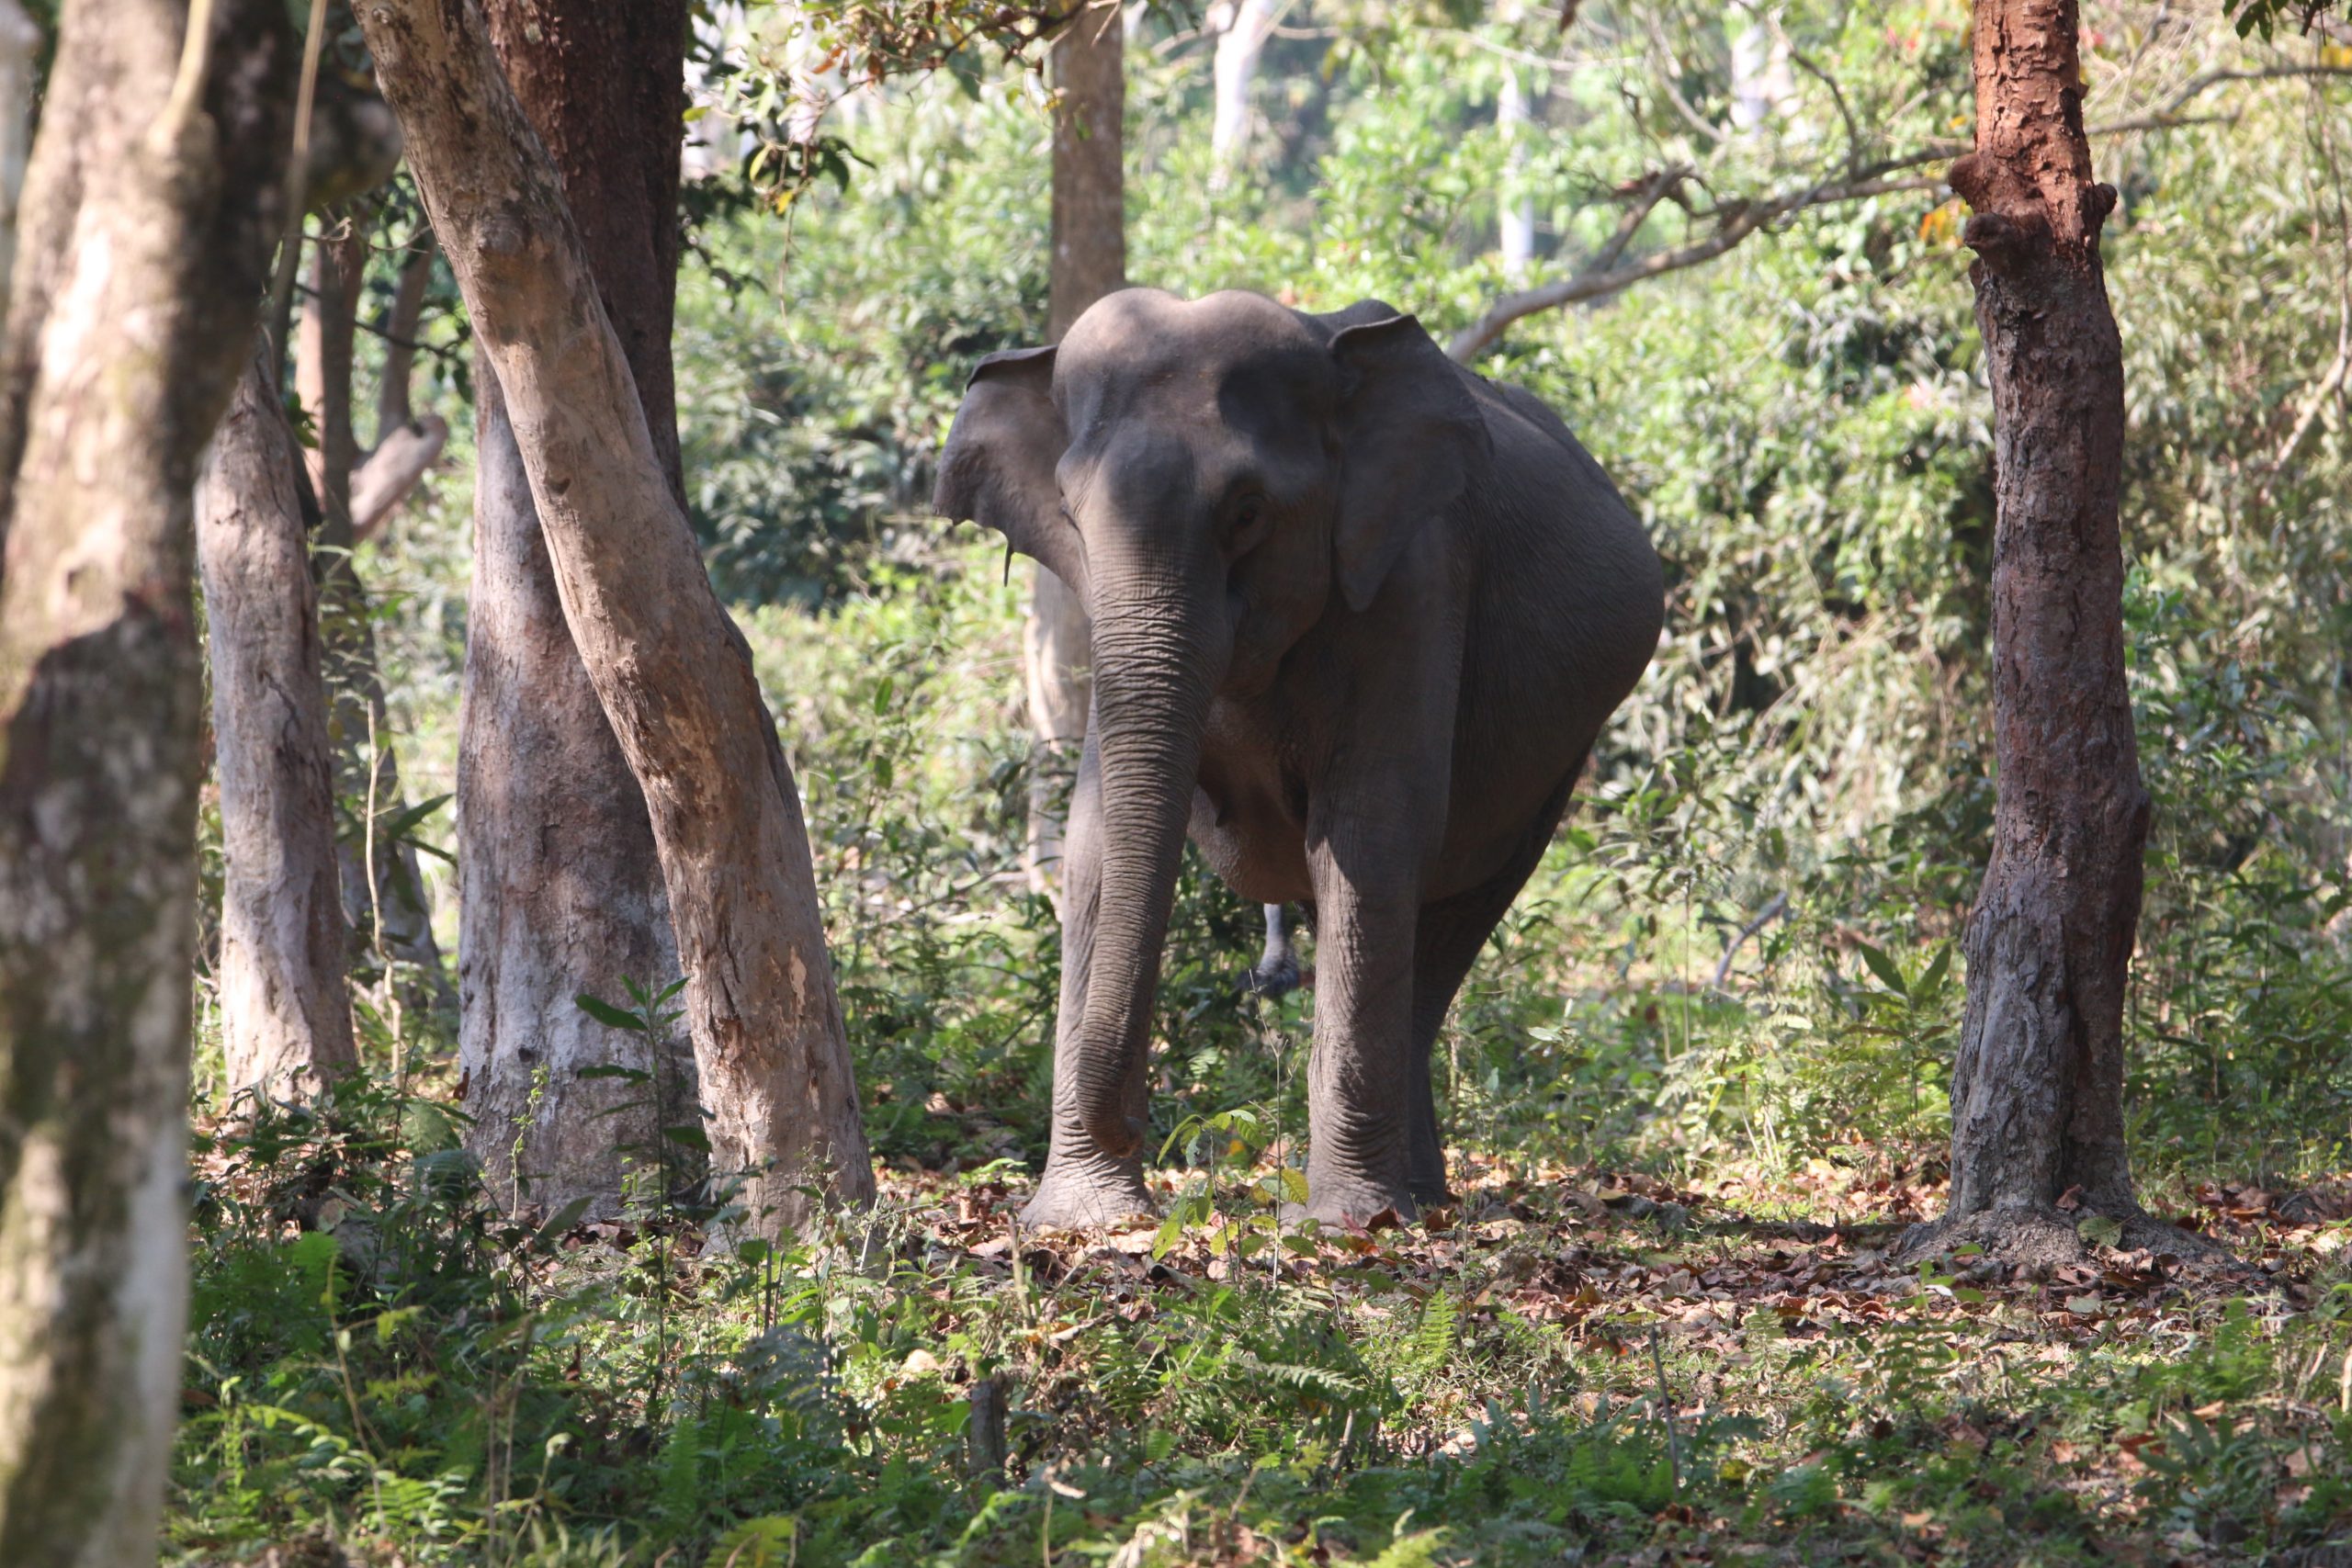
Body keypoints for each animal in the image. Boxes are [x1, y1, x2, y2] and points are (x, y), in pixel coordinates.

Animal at [926, 291, 1665, 1222]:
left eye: (1247, 512)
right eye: (1068, 508)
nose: (1144, 1126)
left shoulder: (1416, 573)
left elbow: (1369, 831)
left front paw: (1345, 1224)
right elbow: (1094, 844)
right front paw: (1082, 1218)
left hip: (1560, 759)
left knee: (1446, 921)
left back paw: (1406, 1203)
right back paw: (1417, 1193)